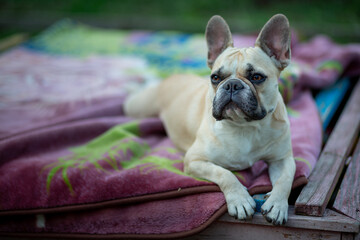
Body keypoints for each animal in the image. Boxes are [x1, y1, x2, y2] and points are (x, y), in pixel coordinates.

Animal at [125, 14, 294, 225]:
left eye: (256, 77)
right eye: (215, 77)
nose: (231, 84)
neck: (244, 126)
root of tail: (170, 78)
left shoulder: (282, 159)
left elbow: (286, 179)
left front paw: (278, 205)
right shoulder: (194, 160)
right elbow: (225, 173)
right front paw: (239, 199)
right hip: (138, 107)